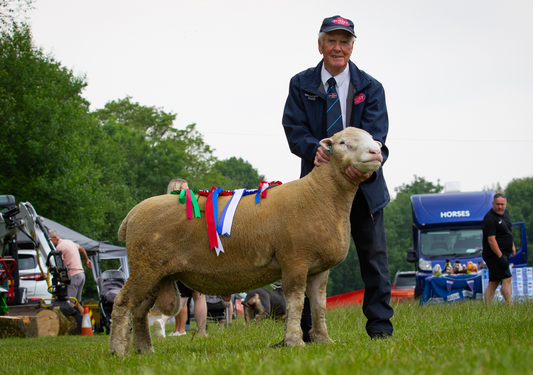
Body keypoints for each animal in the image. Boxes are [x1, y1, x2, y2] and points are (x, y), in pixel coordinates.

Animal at [108, 128, 382, 356]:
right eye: (343, 143)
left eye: (373, 139)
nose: (376, 151)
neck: (320, 194)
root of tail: (131, 215)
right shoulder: (295, 259)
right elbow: (296, 303)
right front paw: (295, 342)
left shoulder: (318, 268)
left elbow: (318, 305)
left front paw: (324, 340)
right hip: (145, 266)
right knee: (123, 303)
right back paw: (119, 351)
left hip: (155, 272)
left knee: (140, 310)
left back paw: (144, 350)